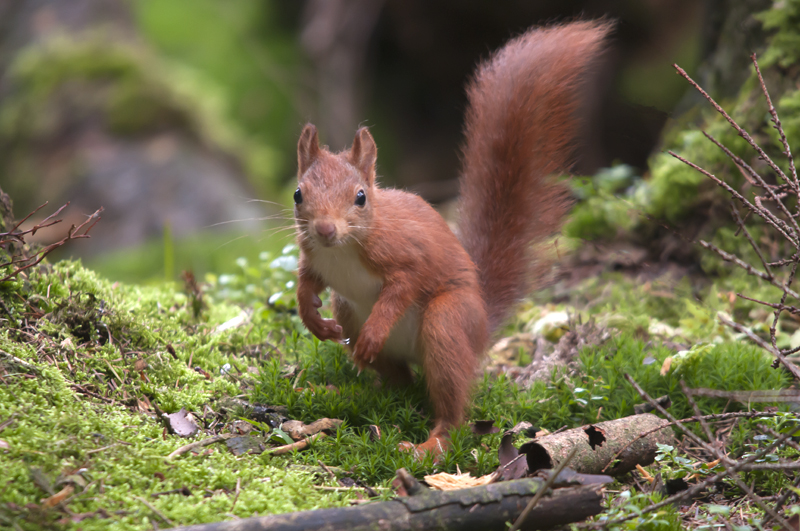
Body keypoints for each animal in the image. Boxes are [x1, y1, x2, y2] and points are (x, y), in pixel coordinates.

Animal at [294, 19, 612, 454]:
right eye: (298, 194)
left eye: (360, 197)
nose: (326, 229)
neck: (342, 250)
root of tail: (482, 327)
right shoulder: (313, 257)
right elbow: (305, 284)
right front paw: (314, 321)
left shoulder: (404, 255)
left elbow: (403, 286)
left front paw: (374, 332)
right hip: (348, 309)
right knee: (400, 381)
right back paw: (354, 391)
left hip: (448, 321)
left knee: (451, 407)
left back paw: (430, 444)